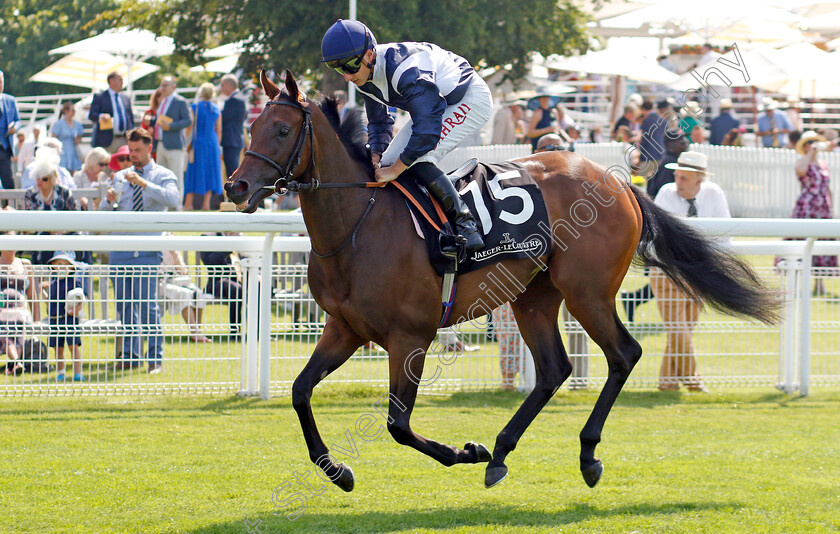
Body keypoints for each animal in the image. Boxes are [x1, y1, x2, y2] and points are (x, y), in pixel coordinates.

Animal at [225, 71, 780, 494]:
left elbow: (398, 426)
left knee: (624, 354)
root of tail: (619, 183)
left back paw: (584, 455)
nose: (236, 186)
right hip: (534, 296)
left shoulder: (411, 337)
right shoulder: (345, 328)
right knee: (555, 368)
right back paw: (501, 452)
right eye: (252, 125)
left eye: (281, 130)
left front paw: (464, 451)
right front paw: (338, 470)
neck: (358, 225)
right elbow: (300, 392)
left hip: (587, 291)